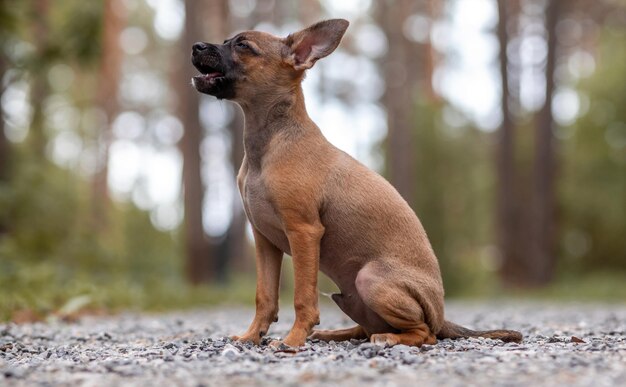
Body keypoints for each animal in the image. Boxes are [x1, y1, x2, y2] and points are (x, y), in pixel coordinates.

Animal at [188, 17, 520, 348]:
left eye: (243, 45)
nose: (195, 46)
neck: (270, 143)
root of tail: (441, 316)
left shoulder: (303, 232)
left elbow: (302, 298)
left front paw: (292, 341)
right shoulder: (264, 241)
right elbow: (265, 296)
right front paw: (251, 336)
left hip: (371, 278)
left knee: (425, 334)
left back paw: (387, 338)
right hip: (348, 295)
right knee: (367, 328)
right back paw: (332, 334)